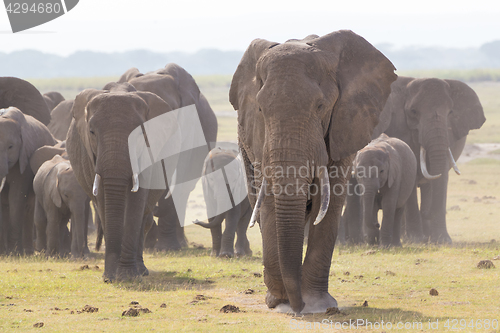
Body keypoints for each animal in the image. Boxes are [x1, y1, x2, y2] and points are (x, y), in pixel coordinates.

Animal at [0, 107, 57, 253]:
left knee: (28, 208)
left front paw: (13, 252)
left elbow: (16, 196)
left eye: (10, 147)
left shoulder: (24, 158)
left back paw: (26, 251)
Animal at [229, 29, 396, 312]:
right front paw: (279, 301)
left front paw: (318, 304)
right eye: (261, 109)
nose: (297, 307)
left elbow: (329, 203)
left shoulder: (345, 127)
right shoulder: (259, 137)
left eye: (320, 107)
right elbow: (270, 201)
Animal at [374, 75, 486, 243]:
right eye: (413, 111)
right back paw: (410, 237)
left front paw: (443, 241)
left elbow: (442, 175)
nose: (427, 214)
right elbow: (411, 173)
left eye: (450, 112)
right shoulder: (399, 129)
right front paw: (416, 240)